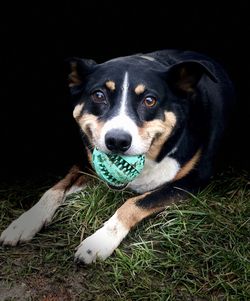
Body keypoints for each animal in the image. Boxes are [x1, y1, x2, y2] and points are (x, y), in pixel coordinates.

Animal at [0, 50, 234, 264]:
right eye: (98, 95)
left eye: (150, 100)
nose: (117, 141)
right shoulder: (87, 161)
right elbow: (54, 190)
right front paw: (25, 222)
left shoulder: (192, 181)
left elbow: (135, 202)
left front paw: (98, 242)